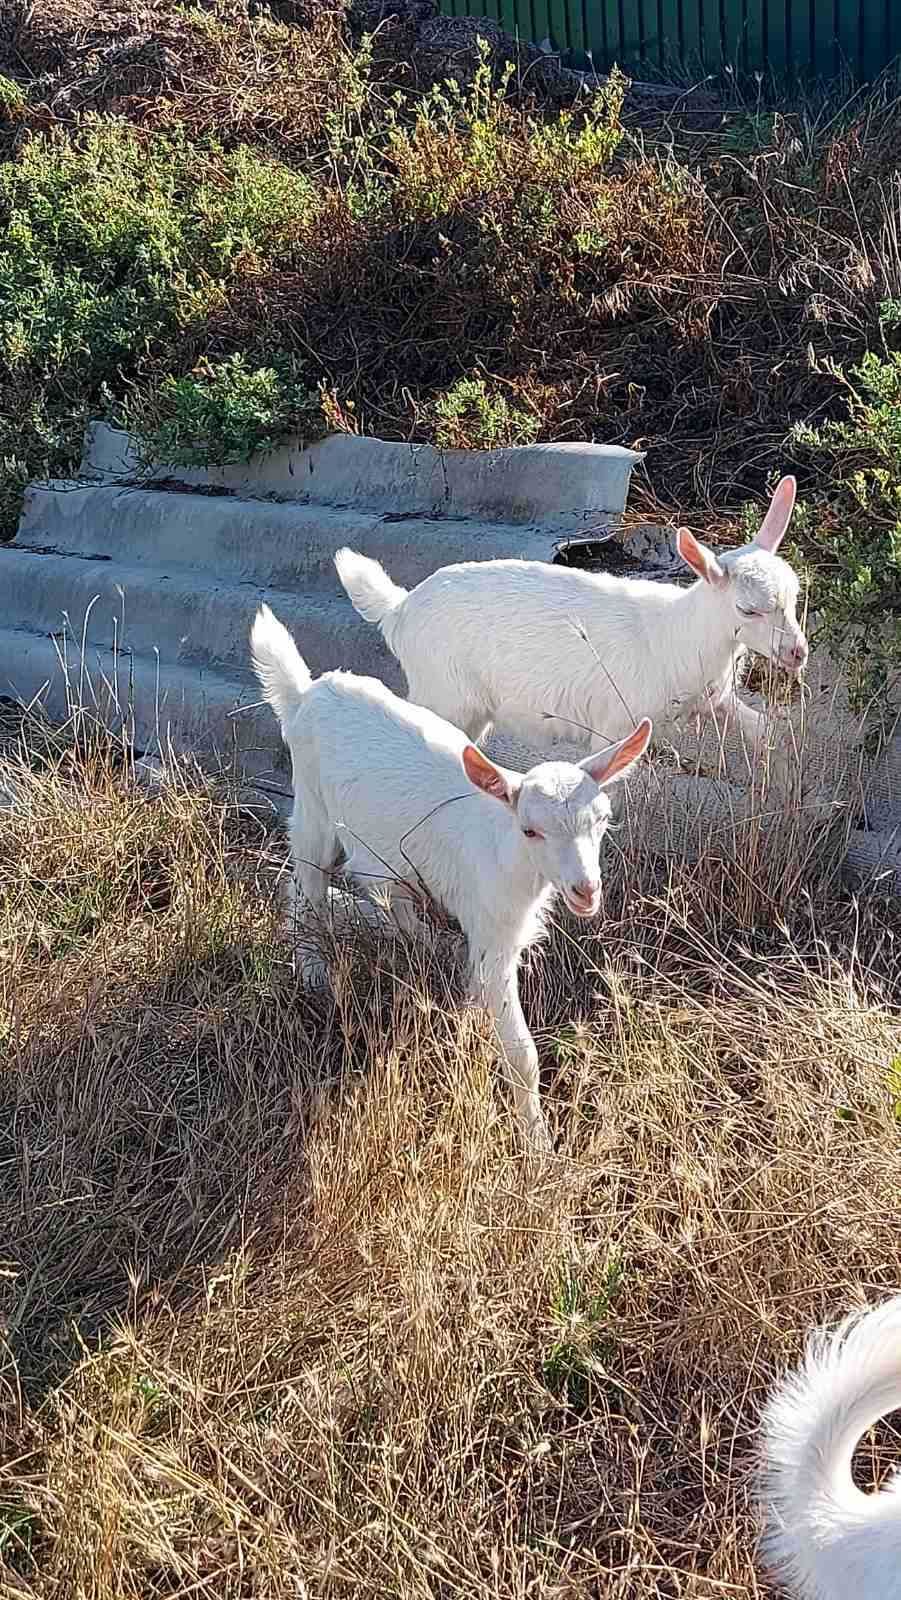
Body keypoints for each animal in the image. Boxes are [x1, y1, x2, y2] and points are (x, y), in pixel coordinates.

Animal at [249, 601, 652, 1152]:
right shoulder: (494, 933)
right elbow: (522, 1053)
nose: (585, 890)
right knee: (303, 887)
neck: (506, 850)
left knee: (387, 896)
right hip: (311, 806)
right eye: (530, 830)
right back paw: (312, 973)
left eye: (603, 820)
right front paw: (539, 1147)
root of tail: (307, 693)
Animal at [332, 473, 809, 761]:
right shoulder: (616, 726)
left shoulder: (716, 699)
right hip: (444, 693)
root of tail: (400, 607)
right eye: (747, 609)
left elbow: (762, 729)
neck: (680, 634)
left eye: (794, 595)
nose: (797, 653)